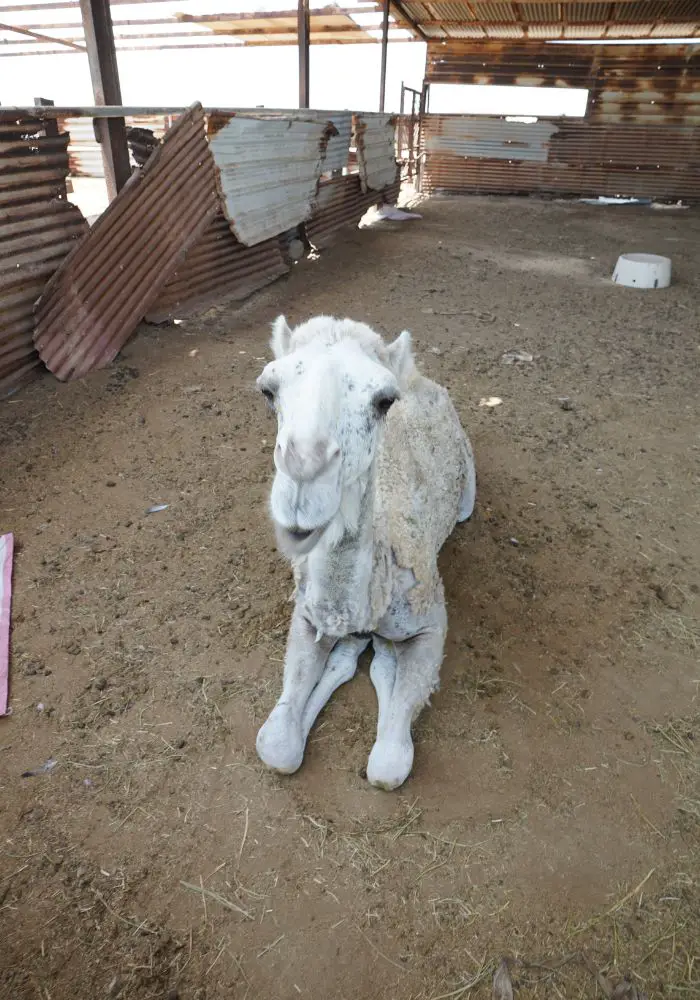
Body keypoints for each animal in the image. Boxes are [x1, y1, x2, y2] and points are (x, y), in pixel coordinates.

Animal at [253, 312, 476, 788]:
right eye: (268, 390)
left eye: (383, 400)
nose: (303, 483)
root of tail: (420, 376)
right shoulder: (307, 615)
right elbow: (275, 746)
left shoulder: (432, 624)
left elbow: (388, 765)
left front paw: (381, 659)